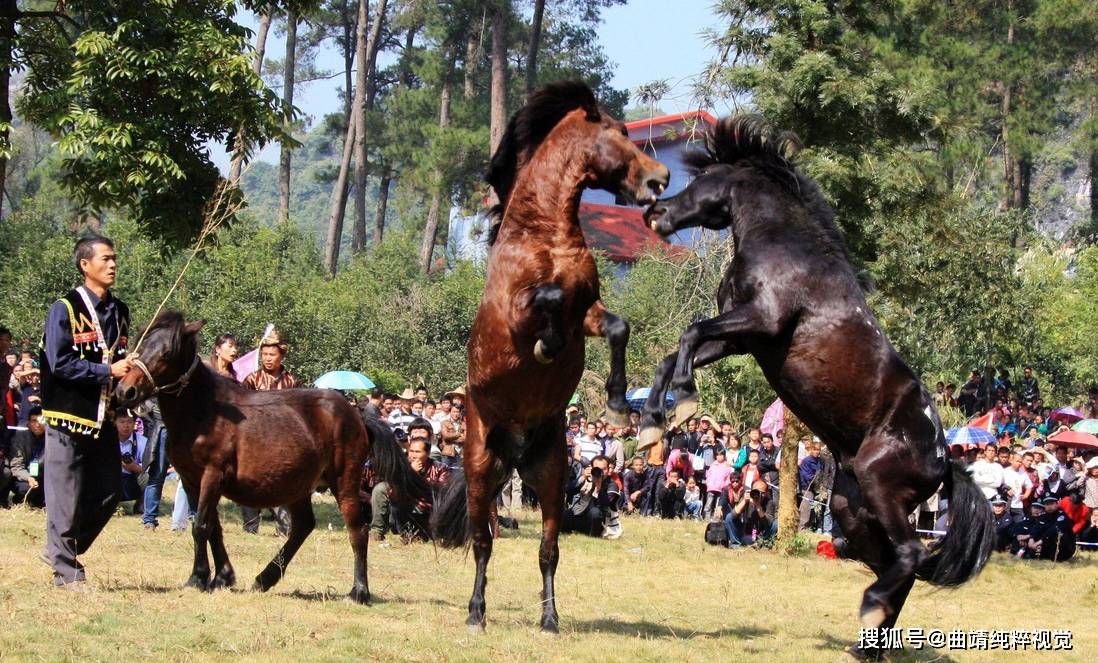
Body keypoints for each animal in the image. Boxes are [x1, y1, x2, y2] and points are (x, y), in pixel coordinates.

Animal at [112, 311, 419, 601]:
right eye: (141, 346)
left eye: (167, 353)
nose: (125, 391)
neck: (205, 412)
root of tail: (356, 414)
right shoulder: (190, 479)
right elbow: (212, 527)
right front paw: (221, 576)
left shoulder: (212, 475)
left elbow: (201, 526)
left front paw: (198, 578)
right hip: (298, 486)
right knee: (303, 526)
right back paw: (265, 578)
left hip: (344, 482)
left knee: (357, 530)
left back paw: (359, 591)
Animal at [430, 80, 667, 636]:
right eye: (618, 134)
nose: (660, 179)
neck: (545, 235)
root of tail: (513, 454)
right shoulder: (519, 313)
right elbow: (550, 300)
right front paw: (547, 346)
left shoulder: (590, 312)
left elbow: (618, 326)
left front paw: (618, 405)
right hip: (481, 471)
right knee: (483, 543)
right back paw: (476, 614)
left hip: (552, 476)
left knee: (548, 549)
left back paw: (550, 619)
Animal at [636, 118, 996, 658]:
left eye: (703, 180)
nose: (655, 213)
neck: (781, 243)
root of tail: (943, 459)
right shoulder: (742, 337)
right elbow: (677, 348)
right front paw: (654, 424)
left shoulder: (760, 322)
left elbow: (690, 333)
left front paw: (683, 398)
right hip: (853, 508)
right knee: (895, 563)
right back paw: (870, 641)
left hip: (878, 485)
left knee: (911, 553)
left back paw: (871, 612)